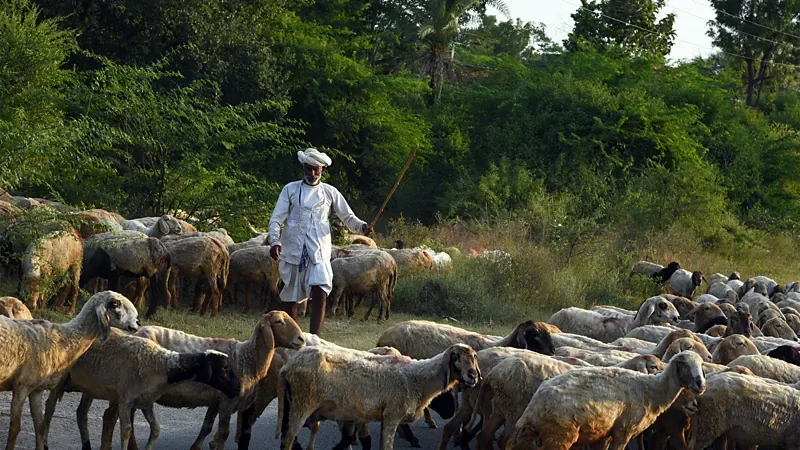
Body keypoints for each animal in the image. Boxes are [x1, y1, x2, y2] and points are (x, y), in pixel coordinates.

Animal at [0, 290, 139, 448]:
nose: (137, 322)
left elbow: (40, 426)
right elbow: (15, 428)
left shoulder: (36, 389)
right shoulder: (22, 386)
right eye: (115, 304)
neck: (61, 339)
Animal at [41, 326, 241, 450]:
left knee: (81, 413)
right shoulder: (125, 400)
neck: (162, 364)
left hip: (90, 387)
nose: (238, 389)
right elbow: (126, 431)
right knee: (49, 409)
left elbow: (156, 429)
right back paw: (44, 442)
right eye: (224, 369)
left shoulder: (146, 402)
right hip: (61, 379)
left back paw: (87, 446)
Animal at [139, 312, 304, 450]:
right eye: (278, 321)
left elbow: (207, 427)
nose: (301, 339)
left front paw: (196, 447)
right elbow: (224, 433)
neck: (245, 358)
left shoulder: (215, 401)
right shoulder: (227, 400)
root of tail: (138, 332)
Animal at [506, 352, 708, 450]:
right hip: (560, 436)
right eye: (683, 365)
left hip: (530, 433)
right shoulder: (623, 433)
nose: (701, 384)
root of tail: (534, 407)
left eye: (701, 366)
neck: (651, 389)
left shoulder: (604, 435)